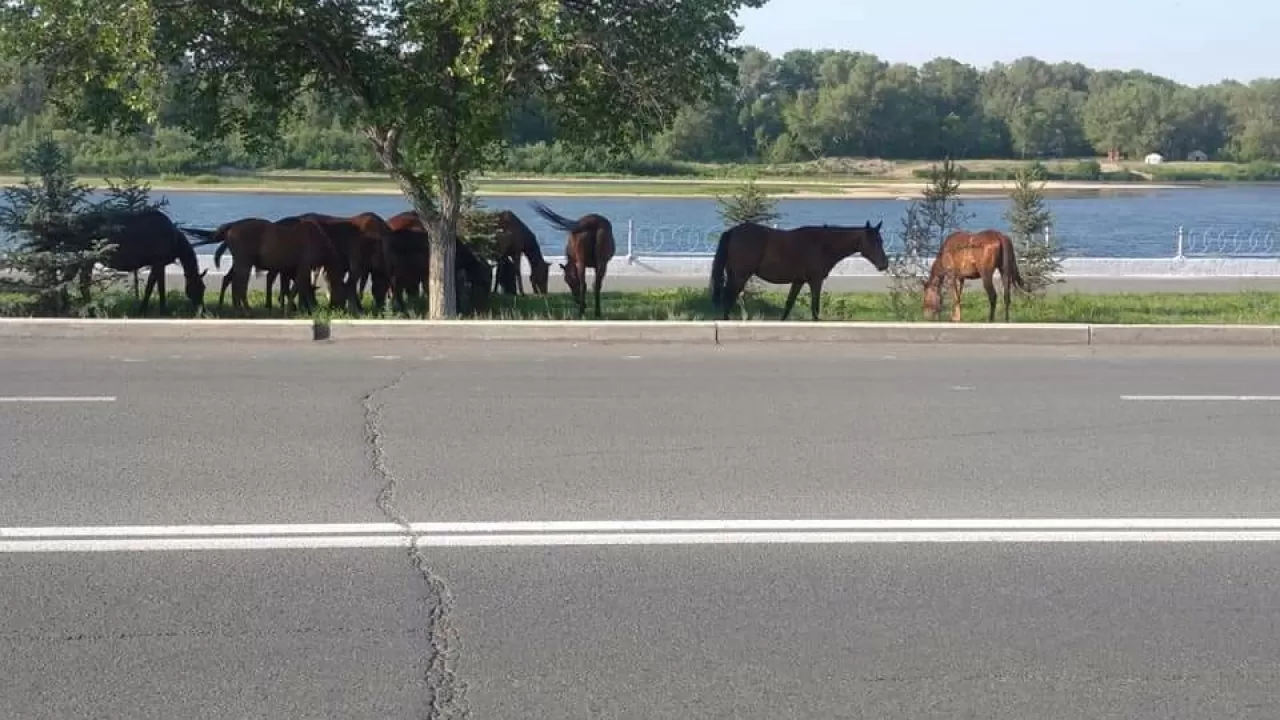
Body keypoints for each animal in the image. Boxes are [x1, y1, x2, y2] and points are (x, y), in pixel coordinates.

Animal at [706, 219, 885, 319]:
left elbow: (788, 305)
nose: (884, 264)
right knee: (728, 299)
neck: (823, 244)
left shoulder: (798, 281)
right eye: (873, 241)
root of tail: (732, 232)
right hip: (740, 276)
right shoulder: (815, 281)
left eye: (881, 240)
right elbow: (815, 308)